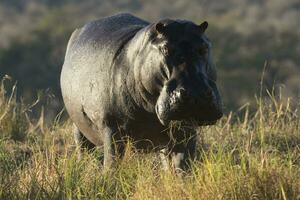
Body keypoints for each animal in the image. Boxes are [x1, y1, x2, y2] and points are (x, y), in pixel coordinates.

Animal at [60, 13, 223, 172]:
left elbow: (183, 164)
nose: (196, 93)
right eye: (166, 49)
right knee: (83, 149)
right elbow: (112, 163)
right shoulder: (111, 127)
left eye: (204, 48)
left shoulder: (185, 128)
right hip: (79, 127)